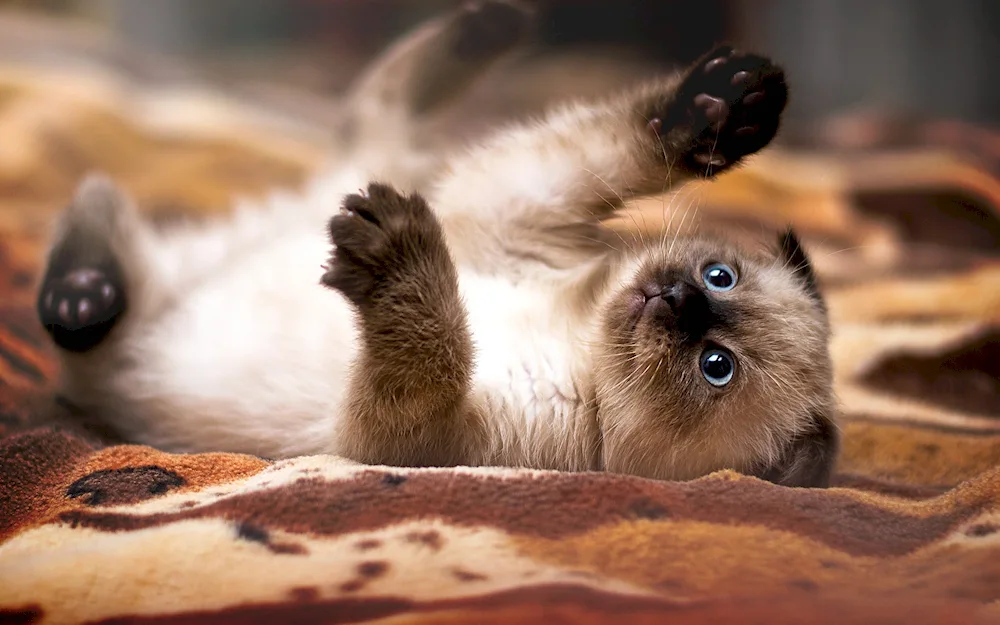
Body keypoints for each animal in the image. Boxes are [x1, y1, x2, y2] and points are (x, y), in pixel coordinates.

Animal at [35, 2, 840, 486]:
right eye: (721, 274)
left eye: (716, 367)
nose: (677, 296)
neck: (574, 335)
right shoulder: (509, 204)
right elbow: (607, 149)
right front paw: (721, 105)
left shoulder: (399, 439)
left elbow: (436, 338)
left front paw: (399, 254)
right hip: (342, 188)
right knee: (373, 112)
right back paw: (492, 27)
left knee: (94, 269)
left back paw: (80, 297)